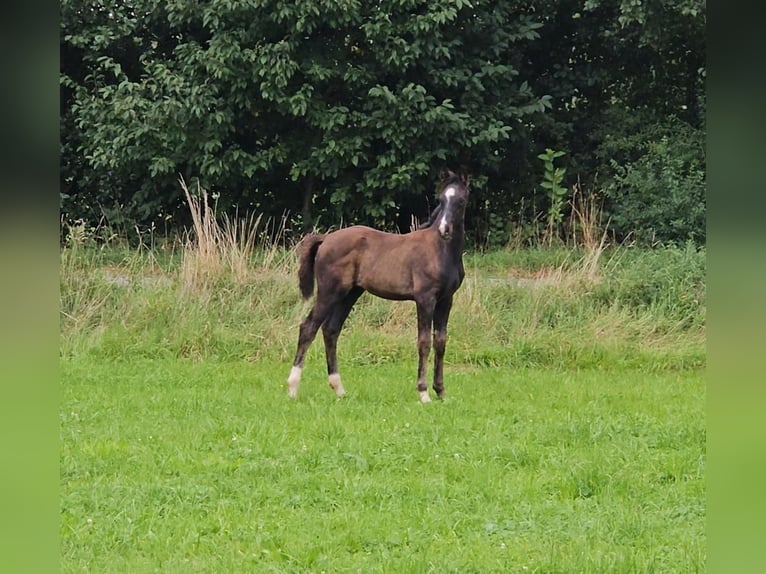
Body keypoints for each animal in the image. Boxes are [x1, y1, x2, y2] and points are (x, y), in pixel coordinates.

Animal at [286, 170, 469, 403]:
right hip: (329, 292)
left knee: (331, 330)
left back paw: (339, 389)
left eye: (460, 200)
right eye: (441, 199)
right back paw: (293, 388)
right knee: (308, 327)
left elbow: (441, 341)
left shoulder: (446, 299)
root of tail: (326, 238)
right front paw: (424, 392)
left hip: (350, 294)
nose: (444, 230)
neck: (441, 250)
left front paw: (441, 392)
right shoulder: (425, 299)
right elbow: (424, 342)